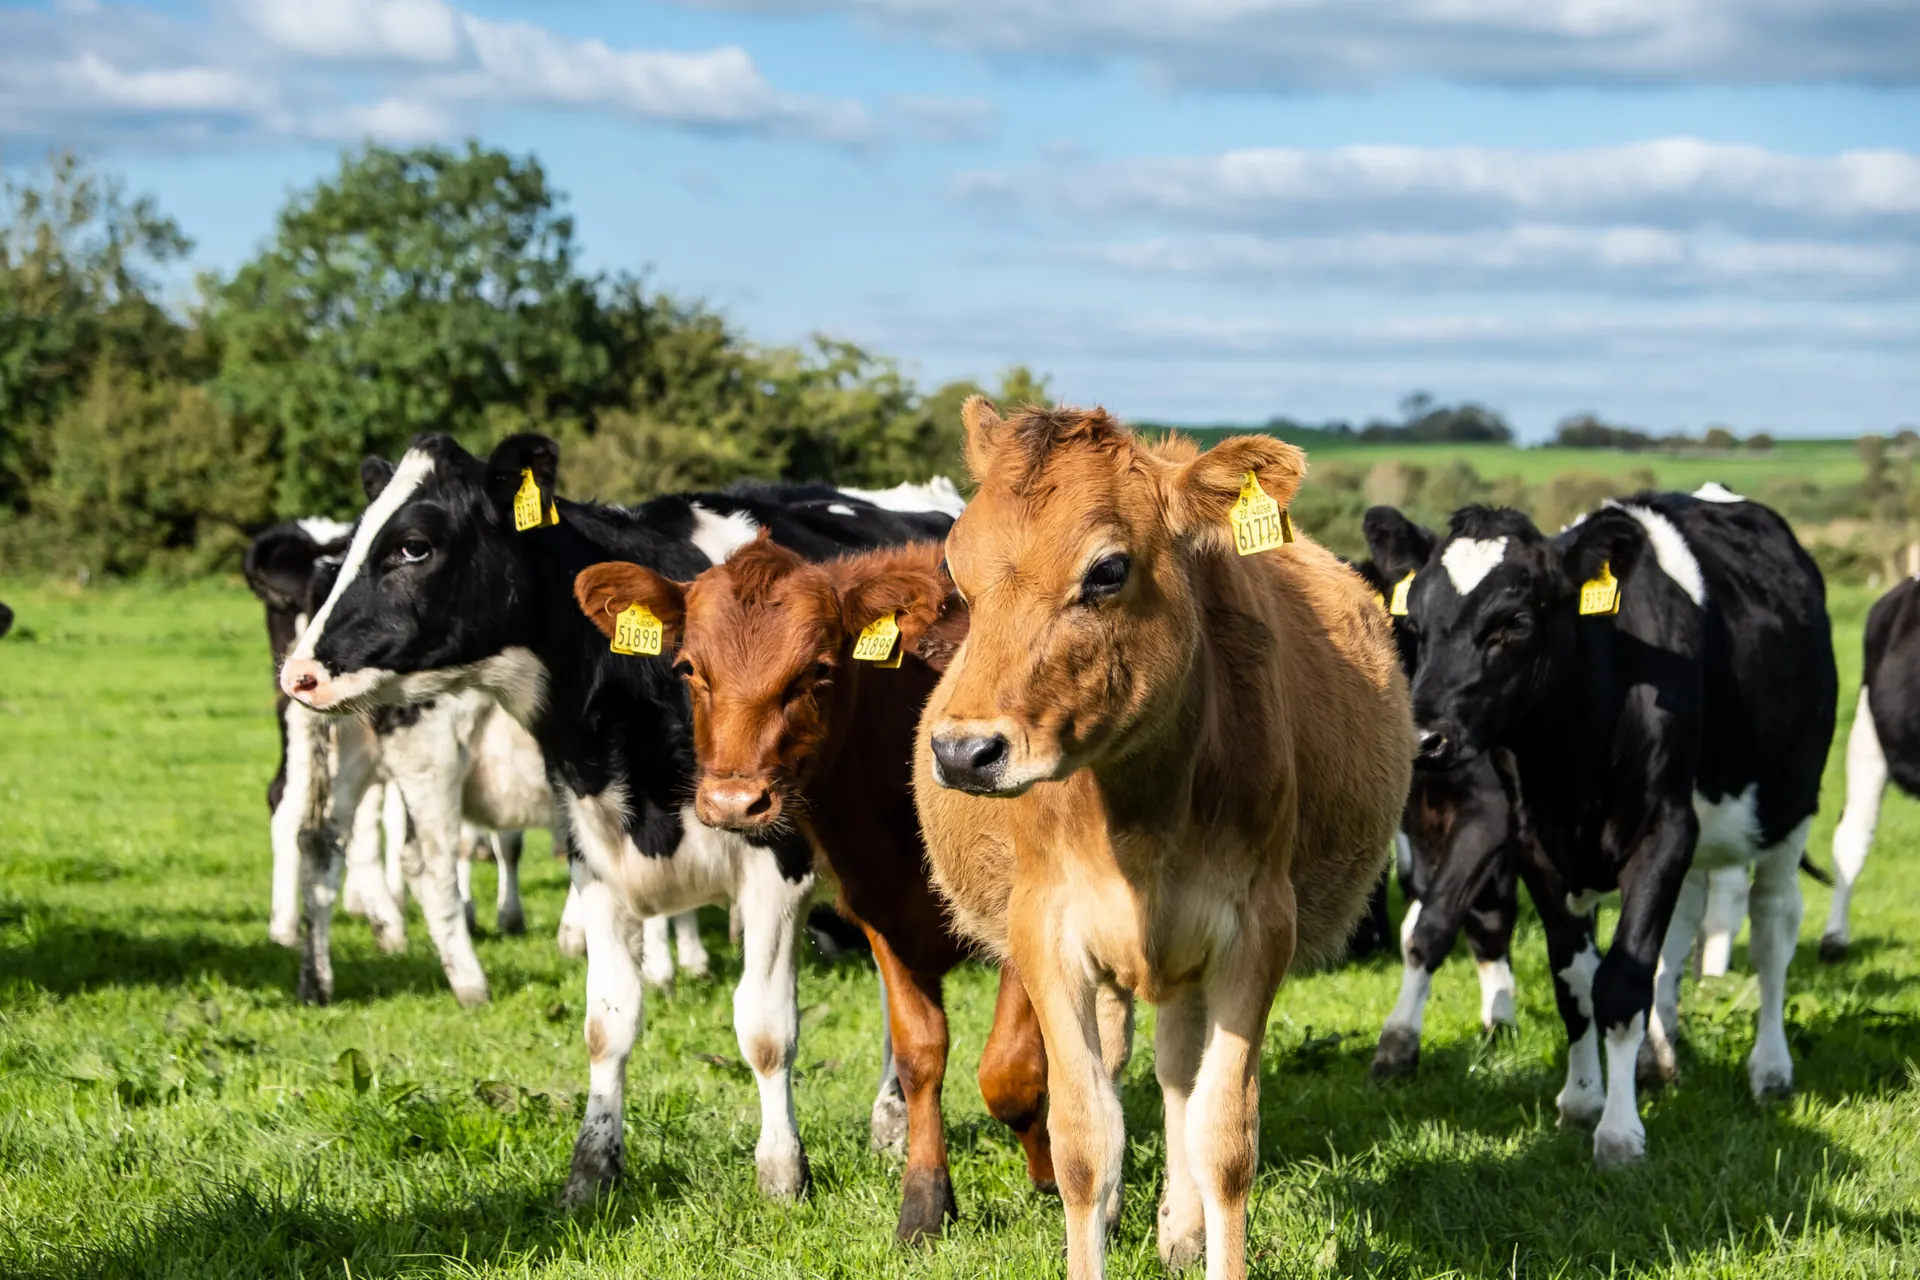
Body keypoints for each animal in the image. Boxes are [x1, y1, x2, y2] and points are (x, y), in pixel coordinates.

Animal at [276, 432, 955, 1205]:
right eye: (354, 542)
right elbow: (608, 1022)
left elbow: (764, 1027)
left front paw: (783, 1171)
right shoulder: (595, 858)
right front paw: (592, 1169)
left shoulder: (775, 862)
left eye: (414, 547)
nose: (300, 673)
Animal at [572, 535, 1054, 1242]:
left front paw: (1053, 1177)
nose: (734, 802)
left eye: (818, 671)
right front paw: (924, 1205)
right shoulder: (883, 916)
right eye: (688, 668)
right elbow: (919, 1056)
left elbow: (1012, 1072)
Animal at [916, 400, 1411, 1280]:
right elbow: (1083, 1139)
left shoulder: (1257, 931)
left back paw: (1181, 1225)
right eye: (958, 566)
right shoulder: (1046, 932)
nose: (965, 752)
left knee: (1181, 1070)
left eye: (1108, 570)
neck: (1141, 818)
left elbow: (1224, 1137)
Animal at [1363, 488, 1836, 1169]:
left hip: (1786, 809)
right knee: (1678, 938)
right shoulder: (1538, 846)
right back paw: (1657, 1056)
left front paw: (1619, 1134)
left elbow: (1621, 981)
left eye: (1513, 623)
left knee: (1772, 928)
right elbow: (1578, 983)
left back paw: (1769, 1070)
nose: (1423, 738)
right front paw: (1583, 1099)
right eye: (1418, 626)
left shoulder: (1660, 833)